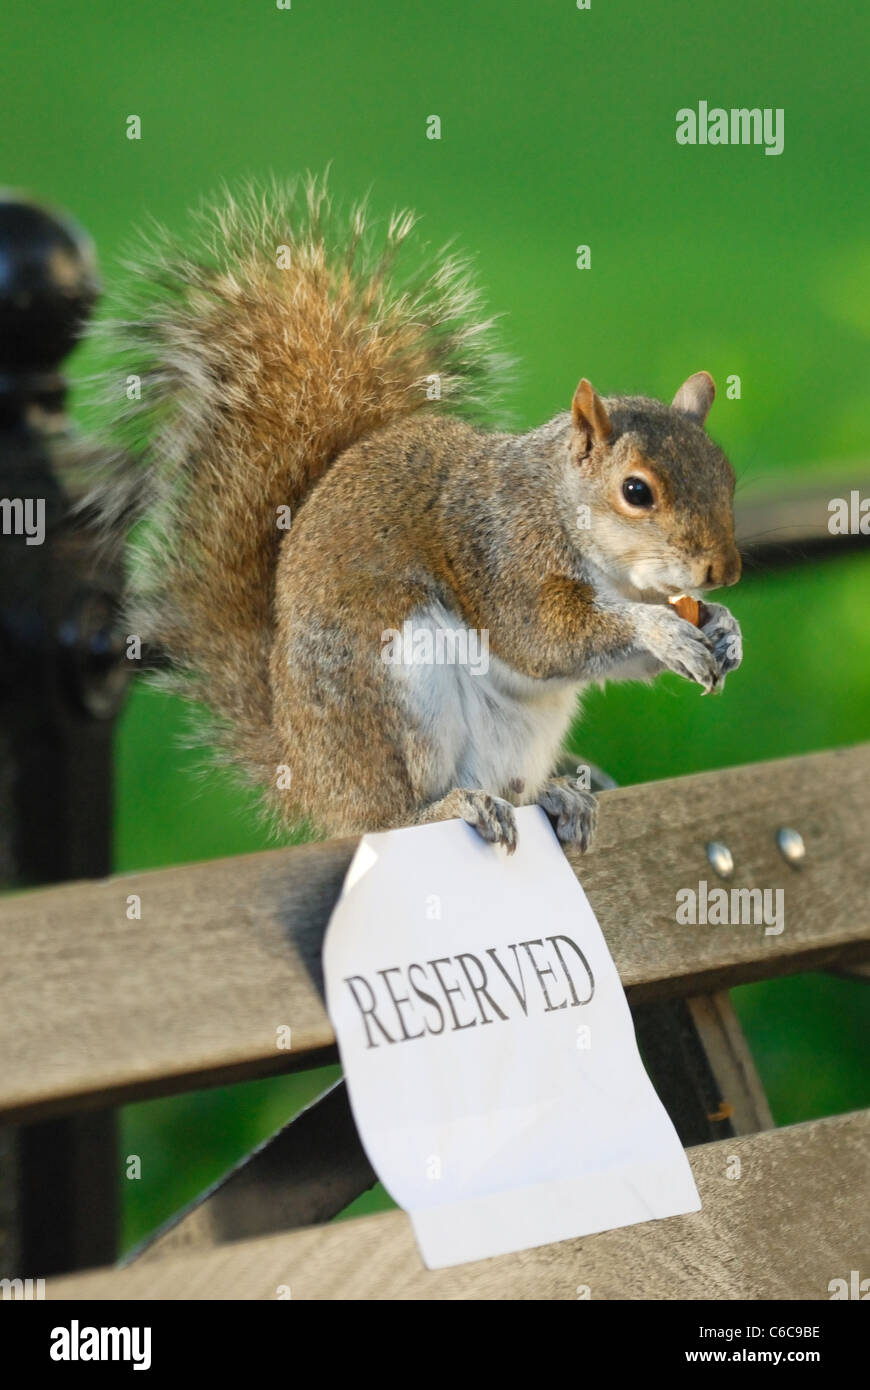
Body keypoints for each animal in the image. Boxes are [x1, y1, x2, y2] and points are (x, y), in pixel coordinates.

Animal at [86, 177, 739, 850]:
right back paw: (450, 806)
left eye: (728, 476)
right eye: (636, 491)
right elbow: (543, 637)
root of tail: (308, 776)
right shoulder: (500, 554)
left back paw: (558, 793)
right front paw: (662, 631)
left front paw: (723, 629)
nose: (724, 571)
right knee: (387, 816)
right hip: (395, 687)